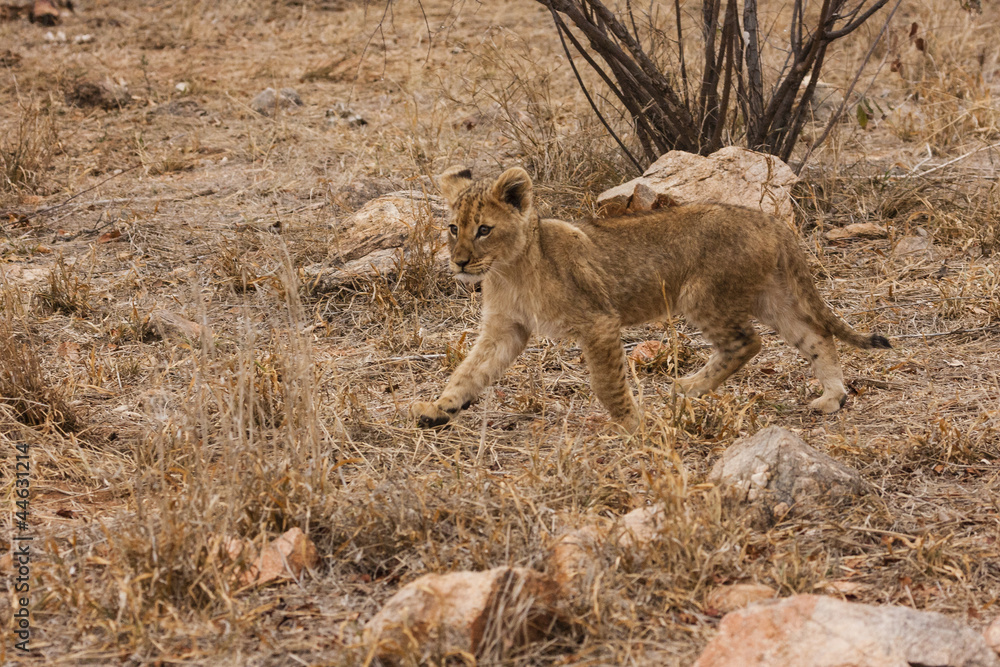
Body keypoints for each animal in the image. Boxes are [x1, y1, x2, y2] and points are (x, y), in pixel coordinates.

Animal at [410, 166, 891, 430]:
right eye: (452, 228)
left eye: (483, 229)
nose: (458, 262)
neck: (507, 269)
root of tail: (769, 221)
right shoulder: (506, 329)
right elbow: (469, 371)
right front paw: (439, 408)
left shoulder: (598, 322)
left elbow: (607, 383)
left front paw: (634, 426)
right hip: (769, 296)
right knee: (815, 336)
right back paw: (832, 397)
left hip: (702, 294)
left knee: (747, 342)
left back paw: (688, 388)